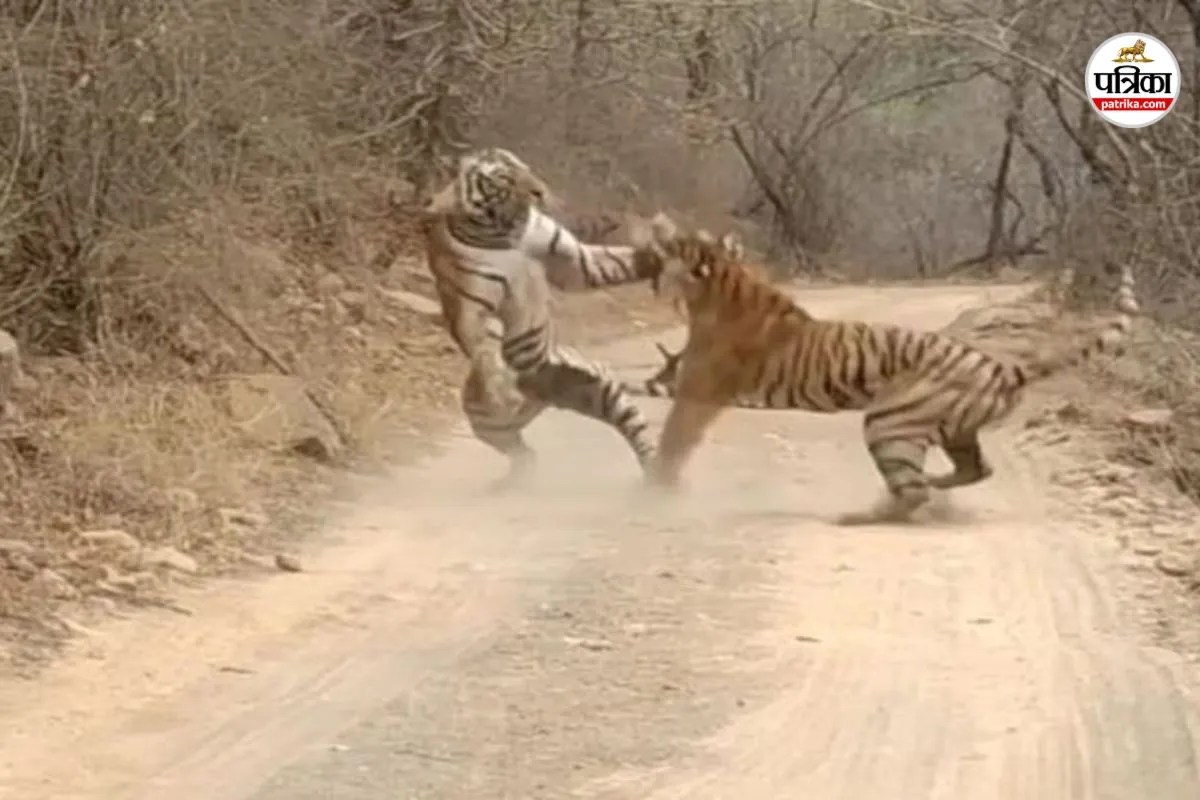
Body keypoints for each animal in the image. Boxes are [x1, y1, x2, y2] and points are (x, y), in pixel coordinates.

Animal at [421, 147, 662, 489]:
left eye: (527, 168)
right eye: (504, 177)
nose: (540, 192)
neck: (506, 231)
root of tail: (543, 399)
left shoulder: (576, 262)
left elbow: (622, 258)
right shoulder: (471, 306)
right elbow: (484, 348)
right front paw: (498, 387)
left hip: (601, 391)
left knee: (636, 433)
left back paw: (659, 479)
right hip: (483, 420)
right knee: (525, 455)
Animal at [626, 212, 1140, 525]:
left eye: (675, 244)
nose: (653, 226)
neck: (712, 292)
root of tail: (1003, 367)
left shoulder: (697, 389)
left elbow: (671, 440)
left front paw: (653, 490)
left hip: (887, 423)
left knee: (914, 490)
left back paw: (863, 515)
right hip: (956, 432)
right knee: (974, 470)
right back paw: (929, 491)